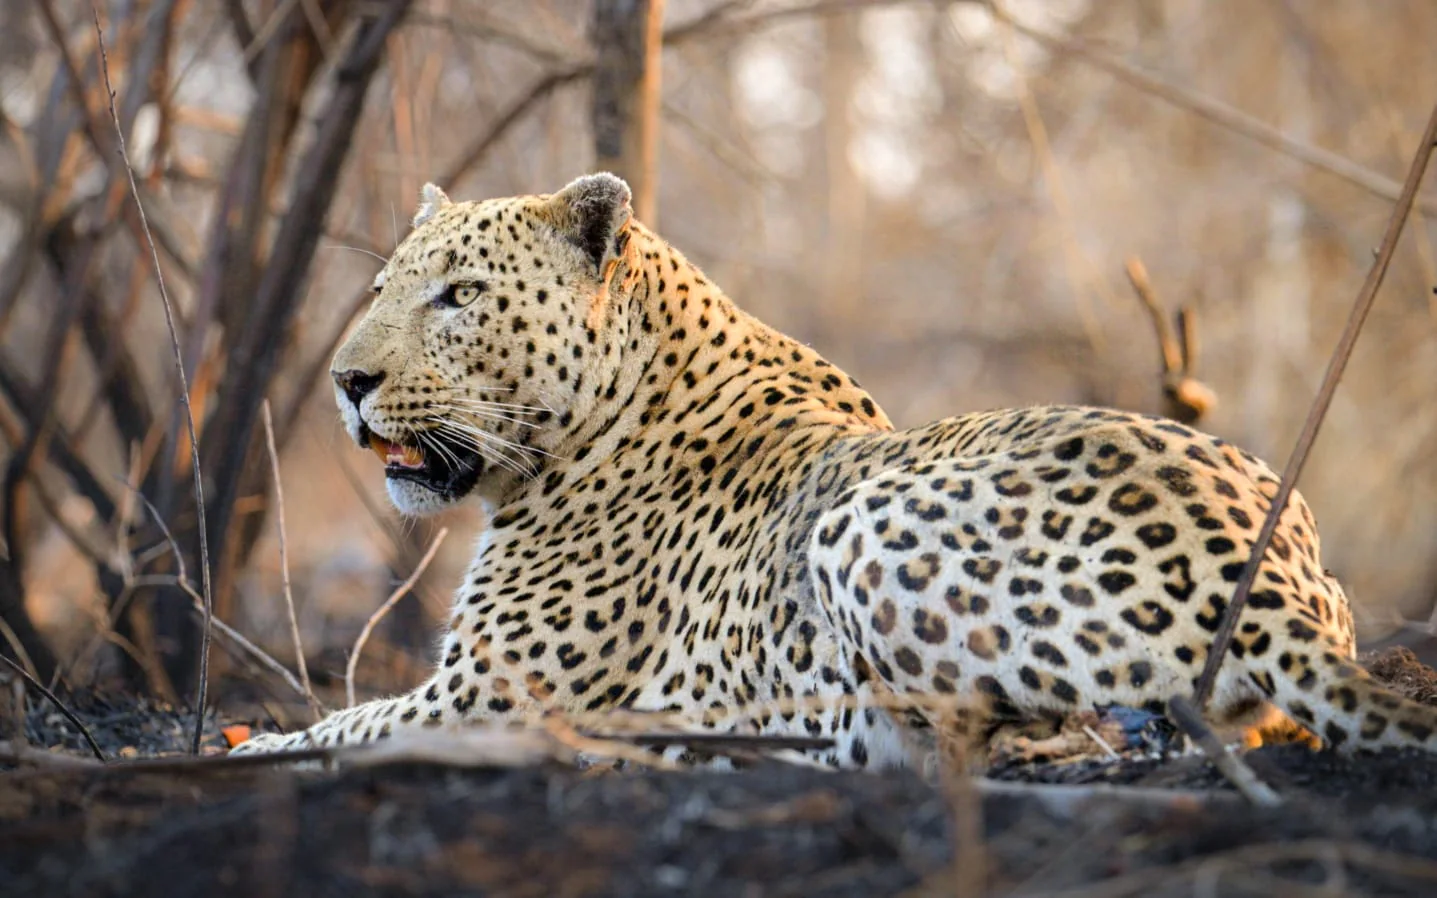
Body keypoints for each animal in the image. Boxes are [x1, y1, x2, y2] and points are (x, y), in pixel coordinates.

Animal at [231, 172, 1437, 766]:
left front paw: (260, 740)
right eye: (382, 286)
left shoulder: (485, 693)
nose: (345, 380)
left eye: (461, 295)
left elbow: (339, 728)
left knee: (1006, 731)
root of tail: (1264, 575)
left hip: (856, 525)